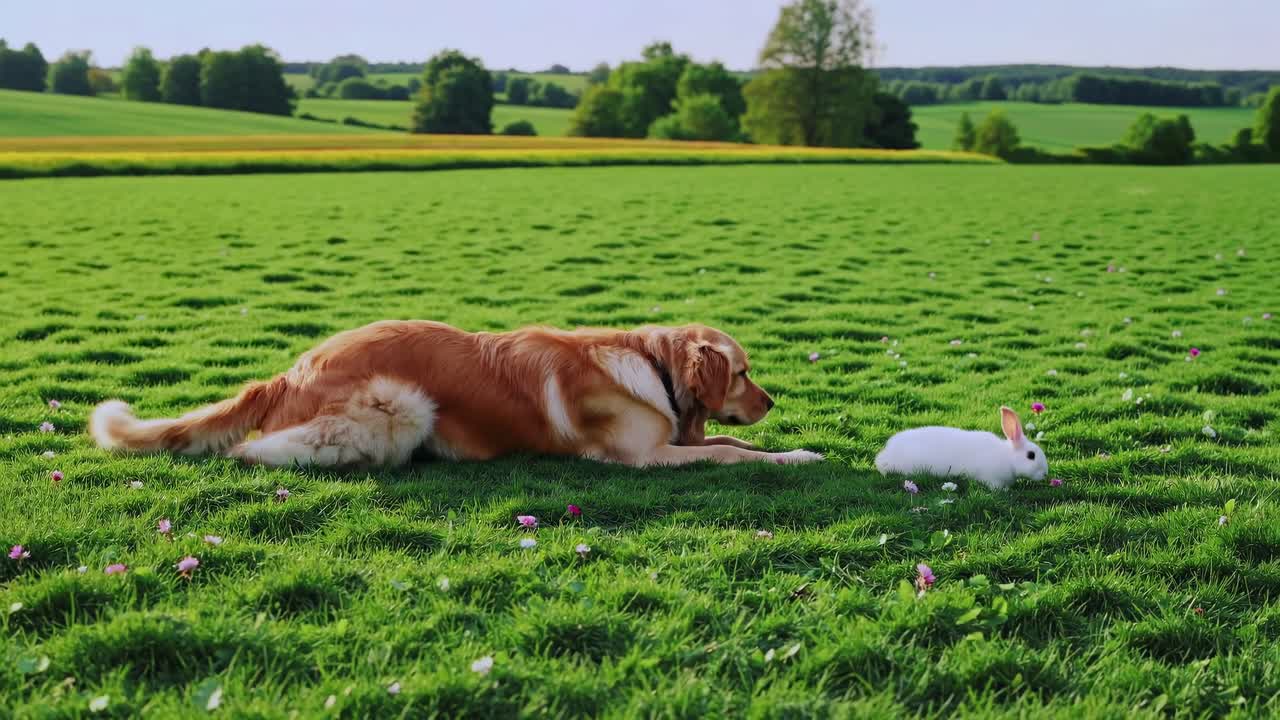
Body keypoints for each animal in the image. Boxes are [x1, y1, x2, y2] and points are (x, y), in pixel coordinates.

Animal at [875, 406, 1048, 490]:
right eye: (1031, 455)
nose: (1045, 474)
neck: (1008, 457)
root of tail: (885, 454)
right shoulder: (991, 478)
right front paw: (1005, 491)